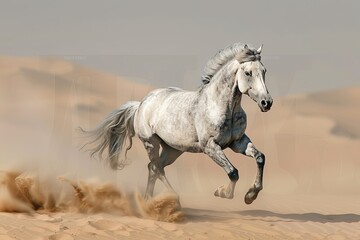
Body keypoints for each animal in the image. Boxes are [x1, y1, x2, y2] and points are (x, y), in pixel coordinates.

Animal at [81, 42, 272, 204]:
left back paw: (148, 201)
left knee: (153, 167)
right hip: (151, 143)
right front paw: (223, 192)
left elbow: (260, 157)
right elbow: (233, 172)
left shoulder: (238, 142)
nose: (267, 102)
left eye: (264, 71)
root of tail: (141, 104)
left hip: (173, 149)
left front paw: (251, 195)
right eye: (248, 73)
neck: (221, 105)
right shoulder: (210, 147)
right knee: (157, 168)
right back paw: (172, 198)